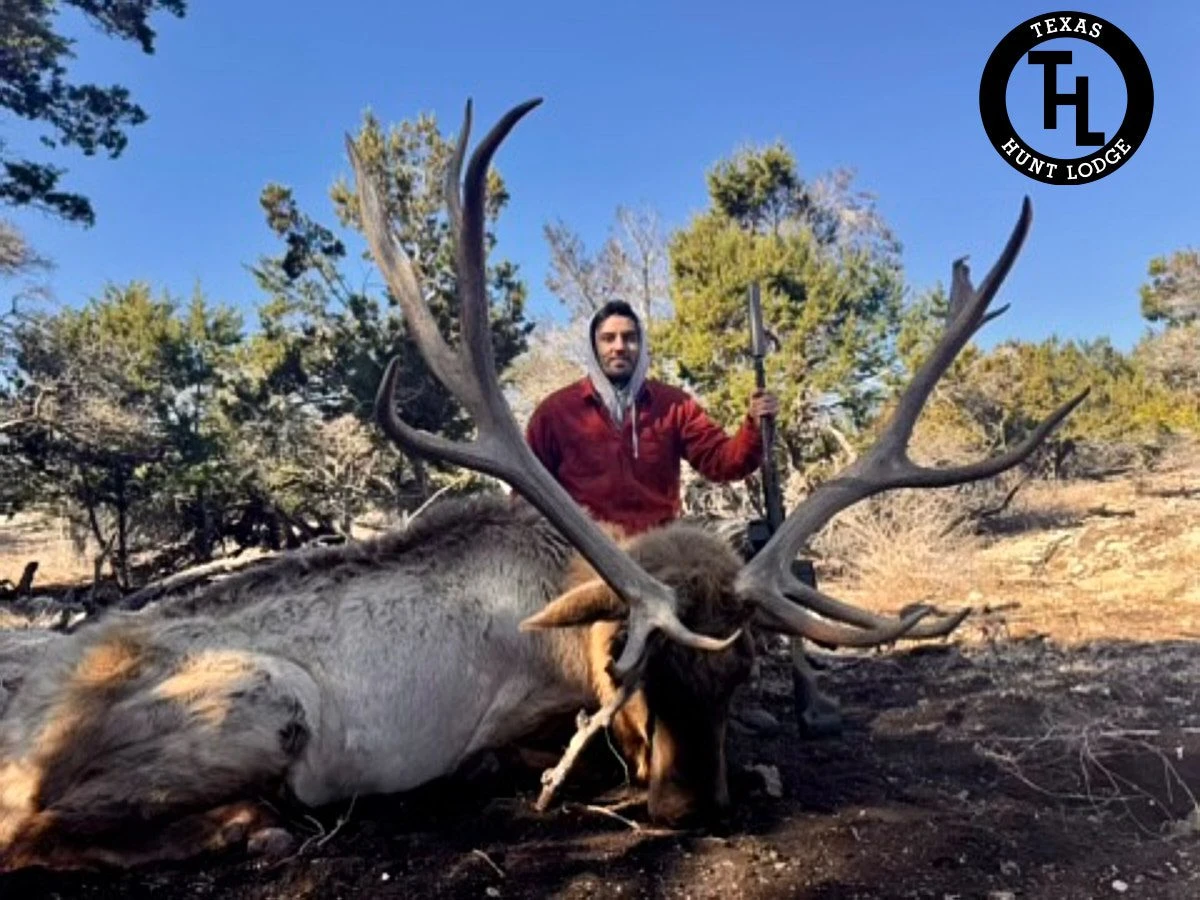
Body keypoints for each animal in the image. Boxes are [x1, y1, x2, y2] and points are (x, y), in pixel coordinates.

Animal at [0, 97, 1086, 871]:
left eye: (739, 671)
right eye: (629, 673)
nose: (690, 811)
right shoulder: (519, 718)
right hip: (265, 695)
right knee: (35, 831)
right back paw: (257, 824)